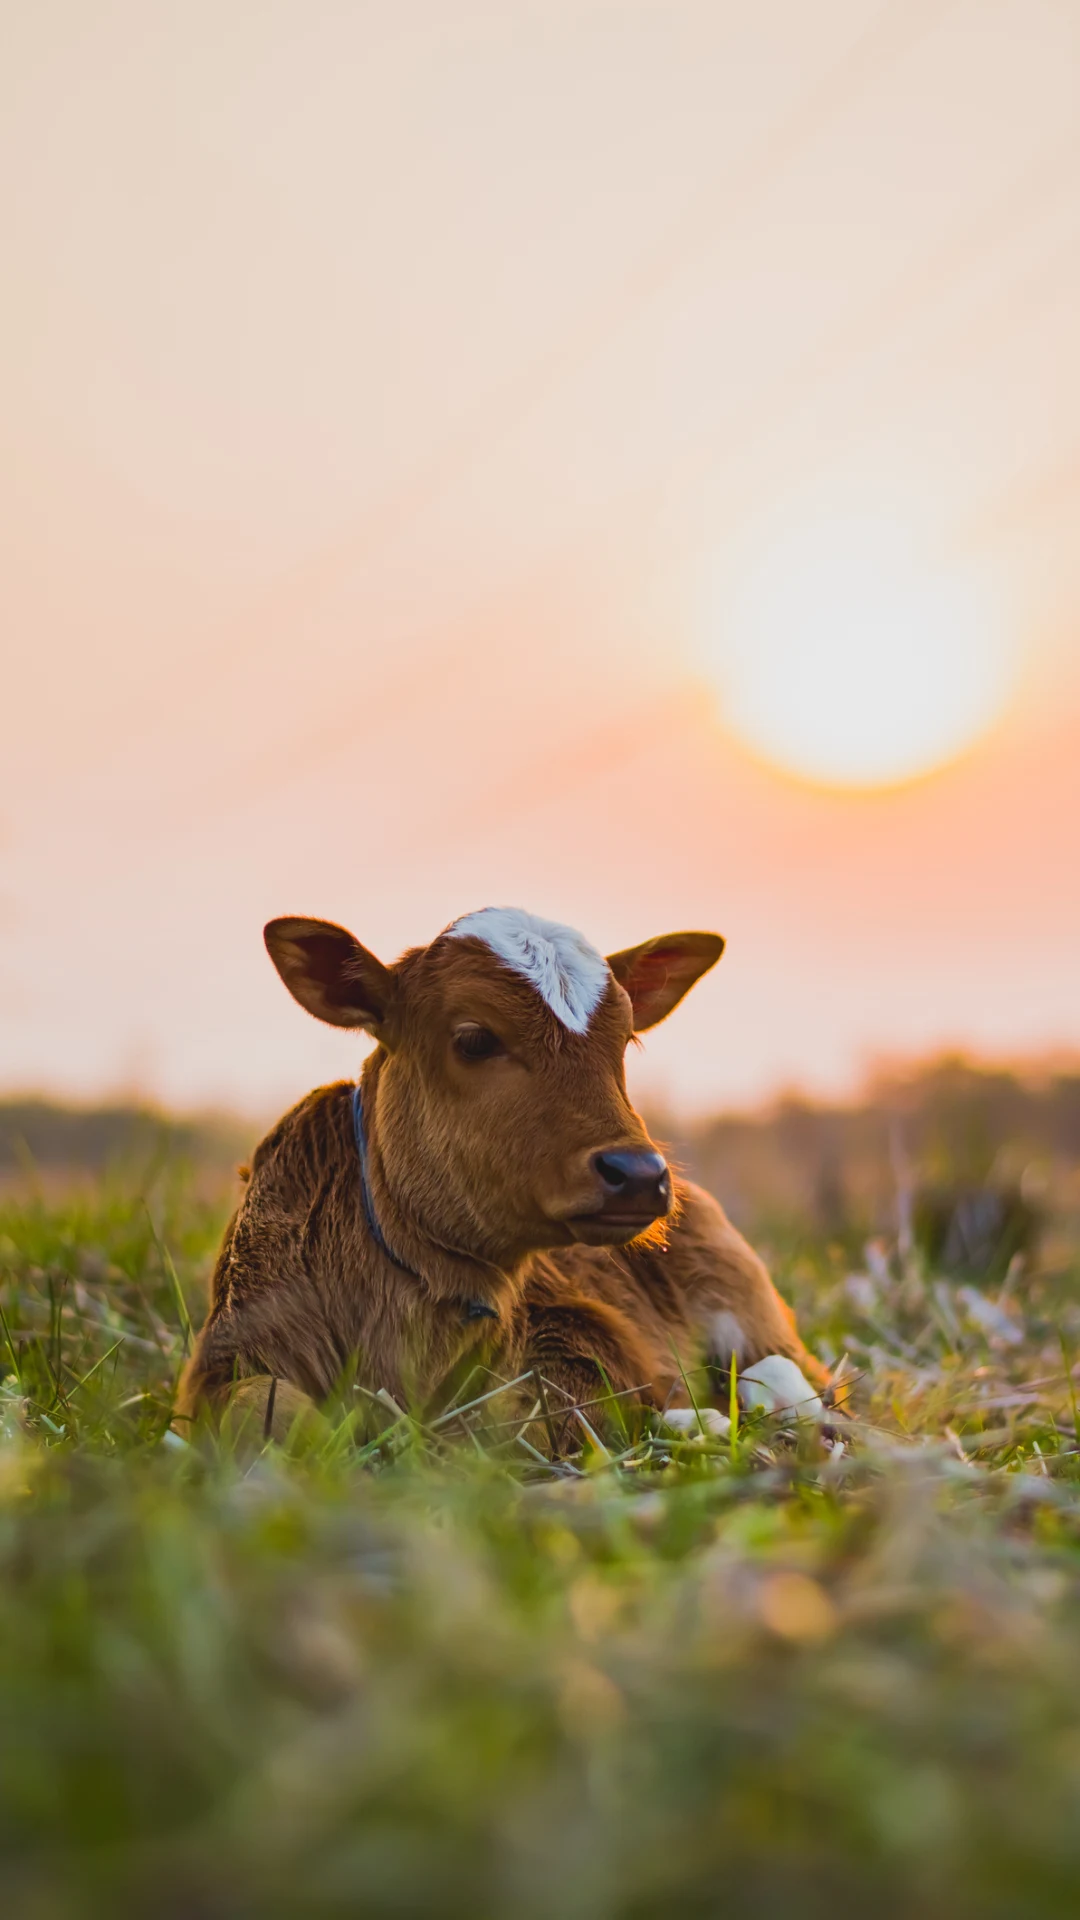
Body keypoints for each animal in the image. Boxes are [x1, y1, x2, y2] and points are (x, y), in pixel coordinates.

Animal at [178, 910, 822, 1443]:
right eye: (475, 1039)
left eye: (626, 1039)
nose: (639, 1173)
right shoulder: (227, 1355)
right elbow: (262, 1407)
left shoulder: (579, 1339)